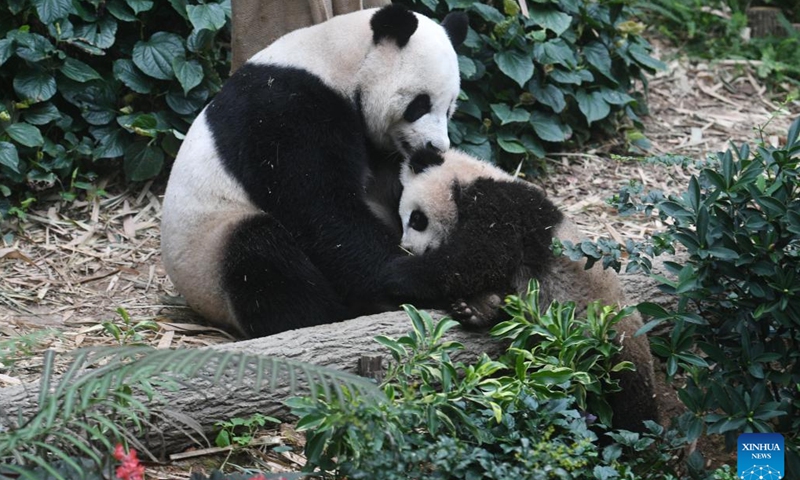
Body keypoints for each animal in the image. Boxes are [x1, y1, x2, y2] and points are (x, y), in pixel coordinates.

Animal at [164, 5, 476, 340]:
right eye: (420, 104)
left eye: (449, 107)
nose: (437, 146)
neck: (336, 61)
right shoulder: (284, 111)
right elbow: (322, 208)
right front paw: (416, 277)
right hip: (209, 251)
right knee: (260, 257)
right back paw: (337, 314)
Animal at [394, 149, 656, 432]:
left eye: (416, 219)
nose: (407, 247)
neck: (468, 177)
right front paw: (479, 307)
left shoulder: (503, 206)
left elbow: (476, 259)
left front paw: (390, 272)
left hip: (609, 336)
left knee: (630, 395)